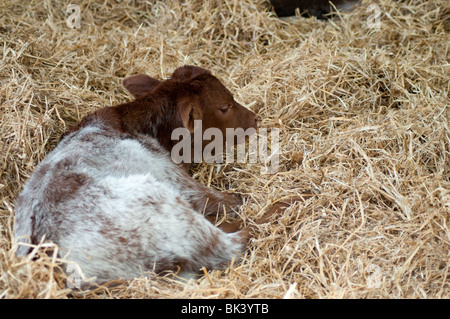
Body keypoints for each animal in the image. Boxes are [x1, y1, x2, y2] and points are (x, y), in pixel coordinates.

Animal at [14, 66, 268, 286]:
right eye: (224, 107)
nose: (254, 119)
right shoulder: (174, 176)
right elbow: (233, 201)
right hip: (165, 208)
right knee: (238, 239)